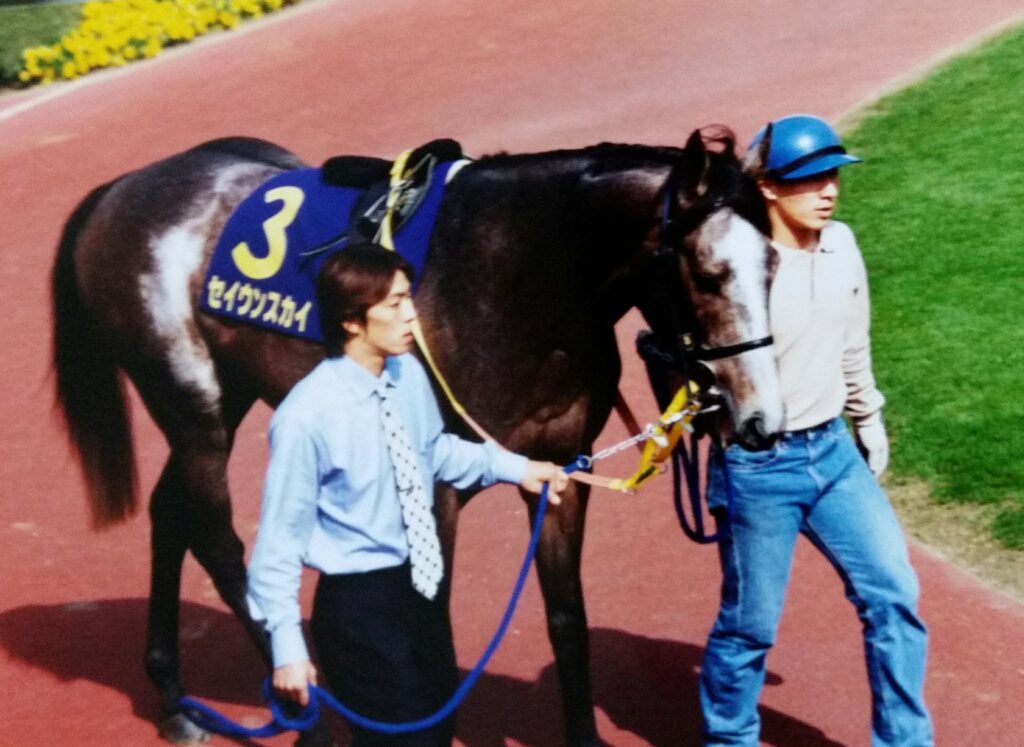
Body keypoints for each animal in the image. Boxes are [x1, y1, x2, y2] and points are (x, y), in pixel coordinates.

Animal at [51, 127, 784, 745]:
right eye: (706, 272)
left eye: (776, 264)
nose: (759, 417)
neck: (512, 272)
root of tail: (117, 190)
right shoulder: (434, 491)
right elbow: (430, 631)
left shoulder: (557, 470)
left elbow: (567, 623)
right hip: (191, 406)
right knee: (219, 543)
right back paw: (306, 716)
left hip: (221, 402)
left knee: (169, 511)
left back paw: (174, 699)